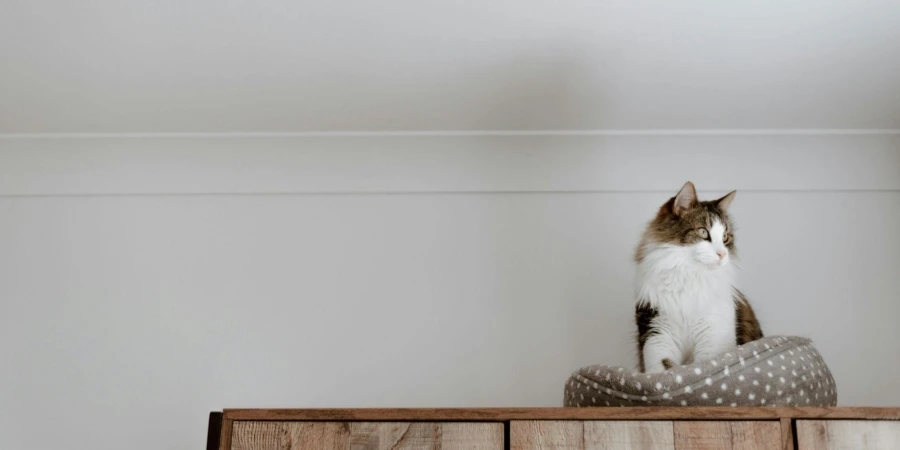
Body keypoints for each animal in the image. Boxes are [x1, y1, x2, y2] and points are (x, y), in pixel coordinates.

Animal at [628, 180, 764, 372]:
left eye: (725, 237)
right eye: (703, 232)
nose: (722, 254)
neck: (689, 275)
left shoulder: (713, 335)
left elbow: (704, 366)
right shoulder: (657, 330)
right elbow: (663, 369)